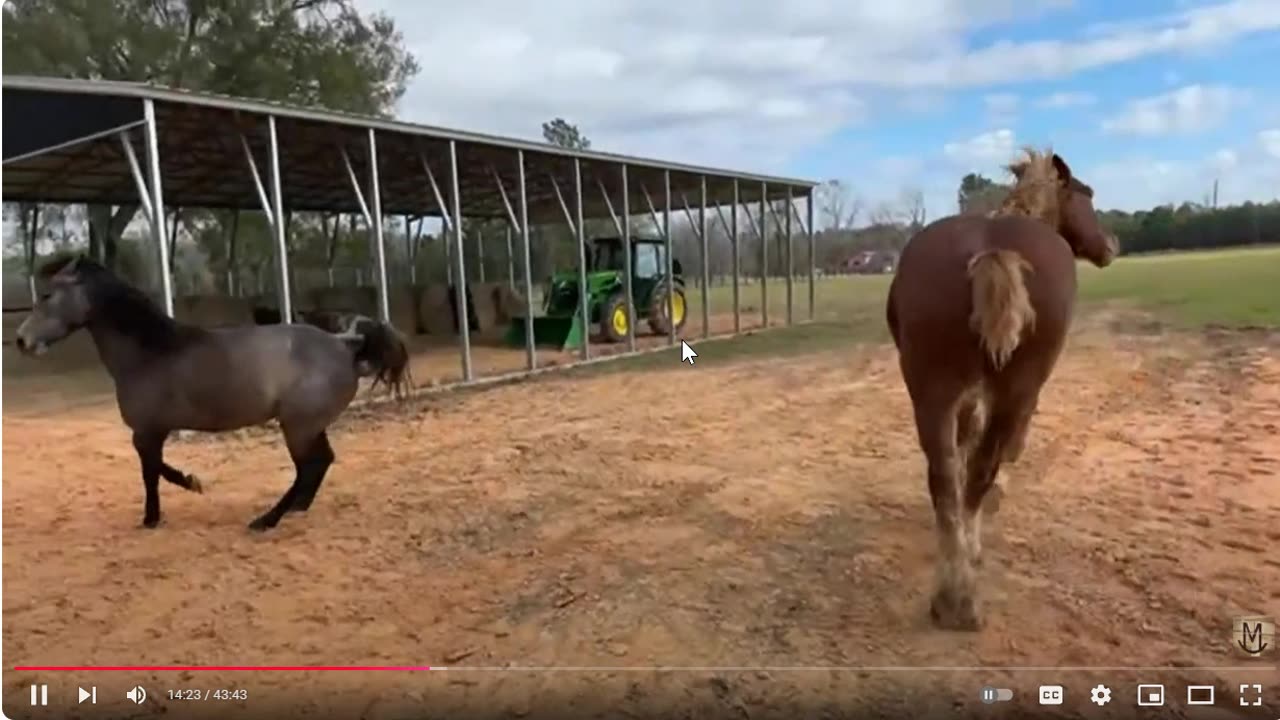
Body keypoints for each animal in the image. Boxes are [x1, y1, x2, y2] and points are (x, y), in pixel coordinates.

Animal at [15, 254, 401, 530]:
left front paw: (160, 510)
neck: (150, 352)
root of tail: (346, 344)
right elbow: (156, 469)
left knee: (309, 467)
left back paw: (267, 520)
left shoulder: (147, 431)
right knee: (321, 463)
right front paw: (183, 490)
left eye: (47, 295)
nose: (21, 341)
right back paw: (296, 508)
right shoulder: (152, 432)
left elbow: (152, 472)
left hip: (298, 427)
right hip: (307, 426)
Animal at [885, 149, 1116, 627]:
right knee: (983, 466)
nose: (1110, 247)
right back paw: (964, 587)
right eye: (1086, 193)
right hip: (1017, 388)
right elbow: (1006, 450)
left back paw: (949, 593)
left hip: (930, 391)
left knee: (944, 477)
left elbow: (963, 447)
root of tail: (991, 252)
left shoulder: (966, 394)